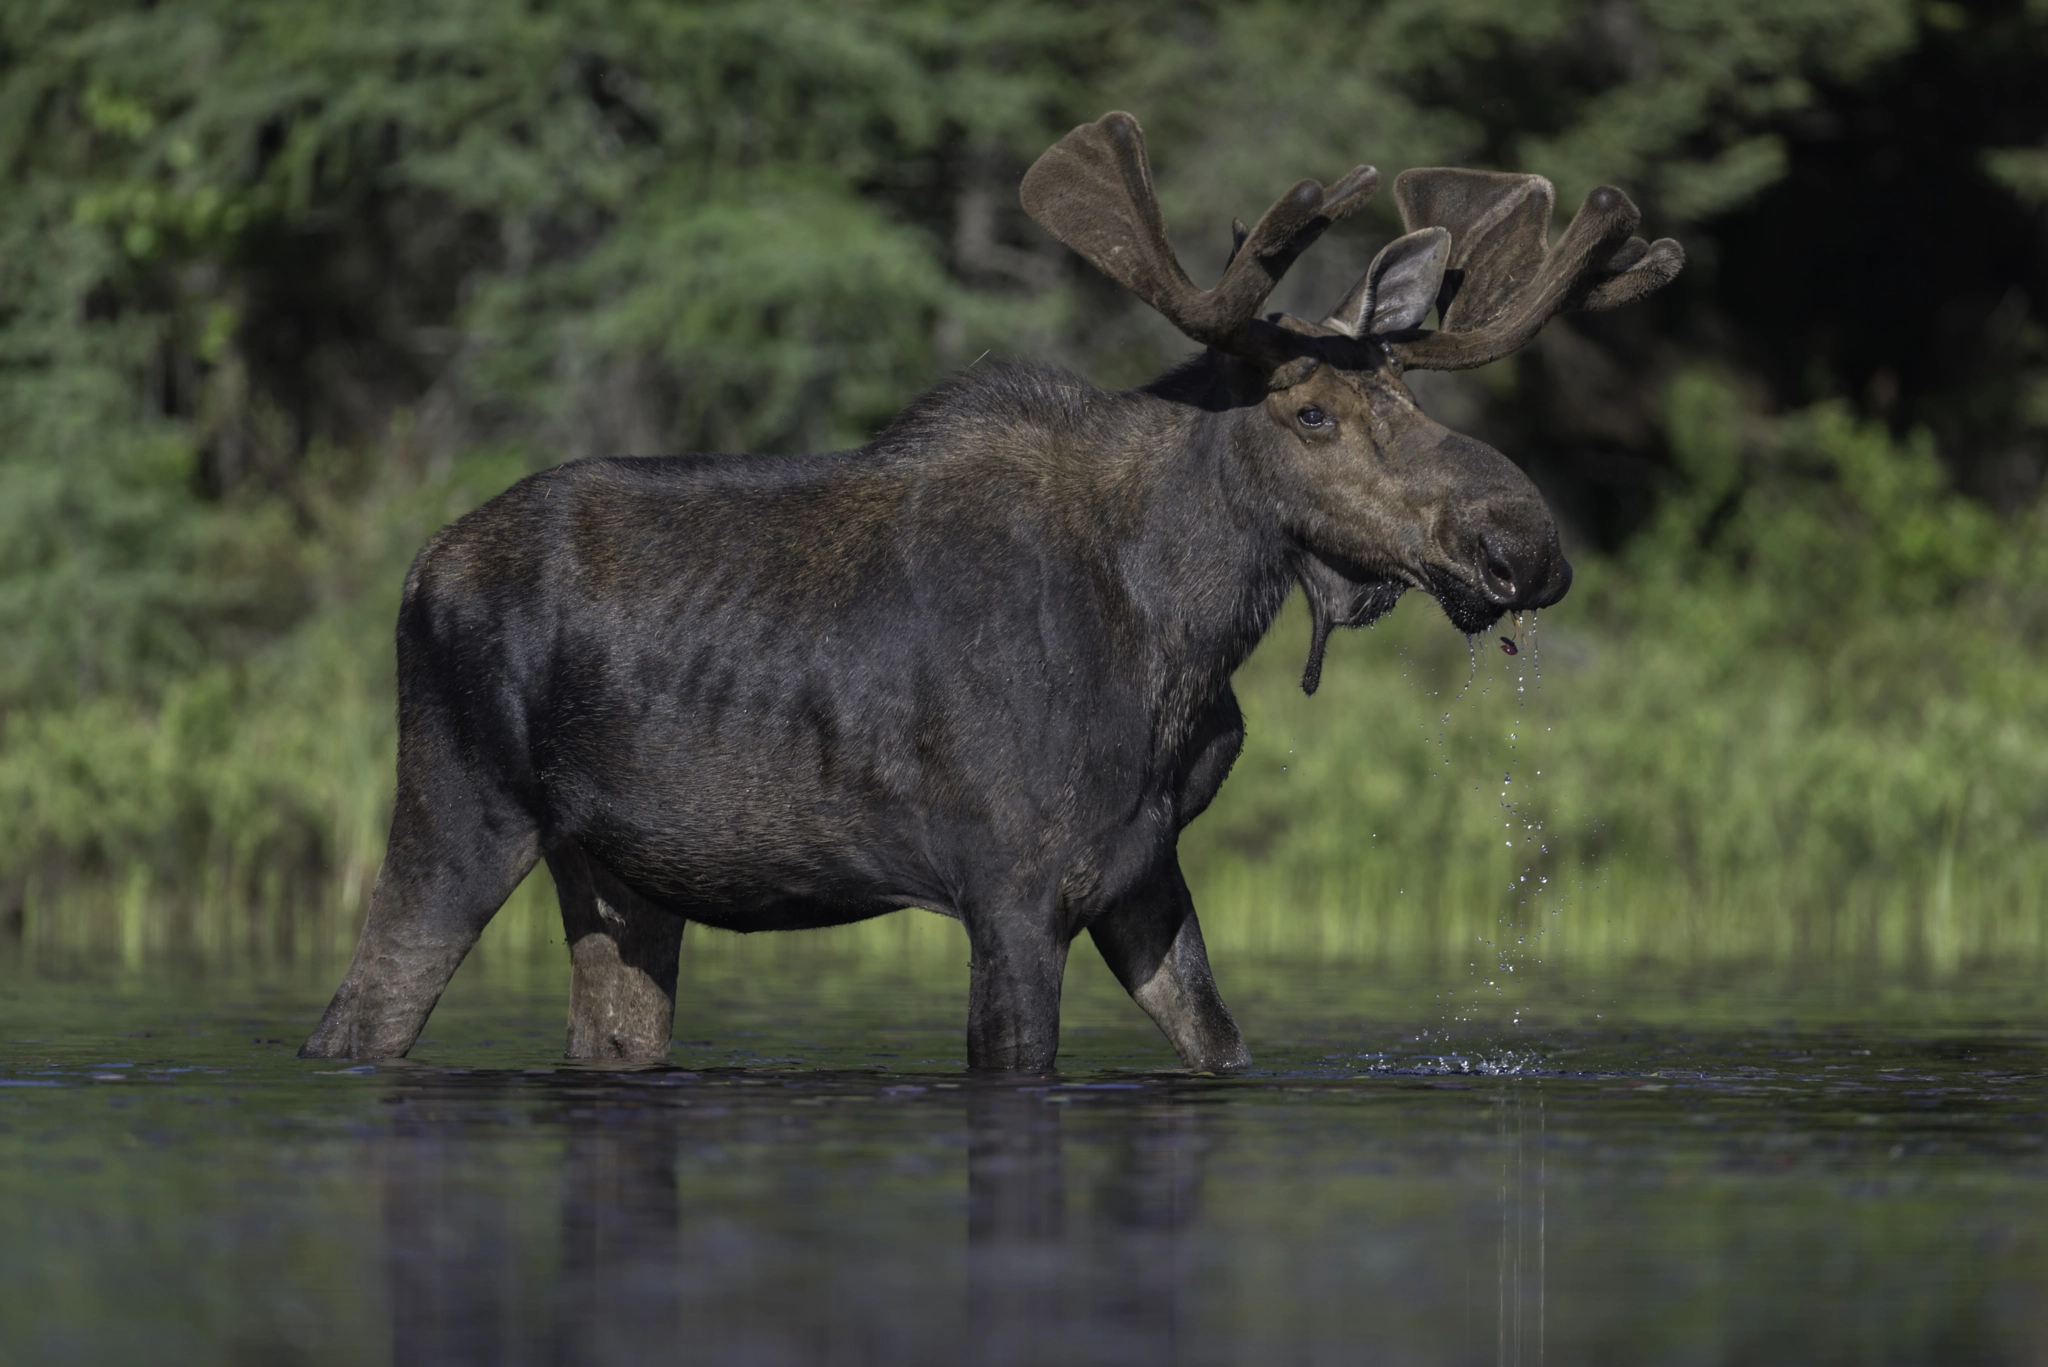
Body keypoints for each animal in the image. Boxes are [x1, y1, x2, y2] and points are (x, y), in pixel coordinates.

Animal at [303, 112, 1679, 1073]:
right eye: (1311, 411)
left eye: (1408, 393)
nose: (1522, 543)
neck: (1181, 637)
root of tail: (419, 568)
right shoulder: (1009, 886)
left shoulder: (1139, 873)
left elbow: (1220, 1044)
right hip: (458, 807)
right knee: (358, 1018)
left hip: (621, 876)